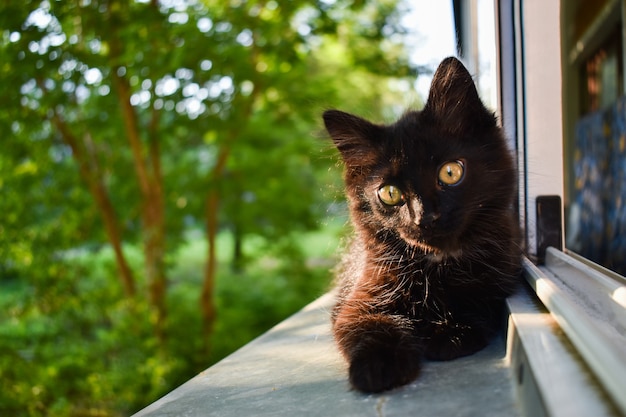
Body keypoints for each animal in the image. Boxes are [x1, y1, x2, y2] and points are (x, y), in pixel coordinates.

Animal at [322, 57, 520, 392]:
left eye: (450, 173)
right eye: (390, 193)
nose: (423, 217)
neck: (438, 266)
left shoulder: (501, 274)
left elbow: (479, 300)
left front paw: (450, 331)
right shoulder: (360, 295)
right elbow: (365, 321)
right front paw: (380, 364)